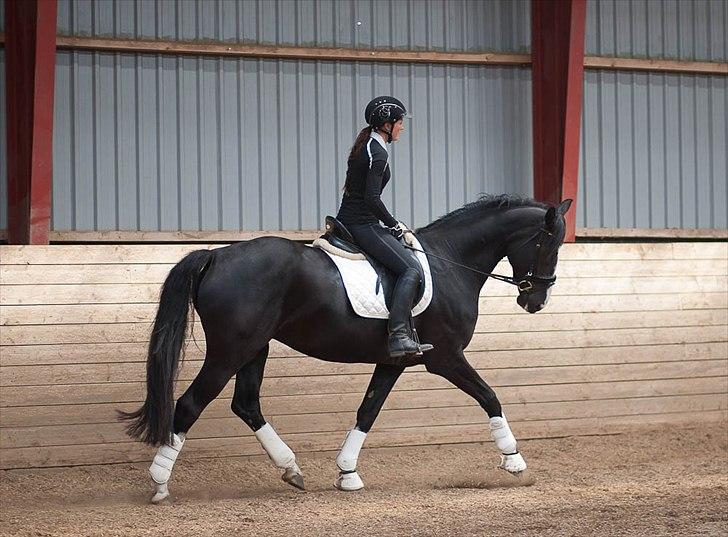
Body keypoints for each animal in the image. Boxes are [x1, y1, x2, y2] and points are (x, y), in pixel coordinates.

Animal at [122, 195, 572, 500]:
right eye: (548, 244)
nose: (536, 301)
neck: (451, 262)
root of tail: (215, 256)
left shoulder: (396, 361)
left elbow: (367, 411)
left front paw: (347, 473)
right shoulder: (445, 357)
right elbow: (490, 396)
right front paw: (514, 461)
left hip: (254, 349)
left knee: (246, 405)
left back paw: (291, 469)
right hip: (229, 351)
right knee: (189, 405)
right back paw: (160, 483)